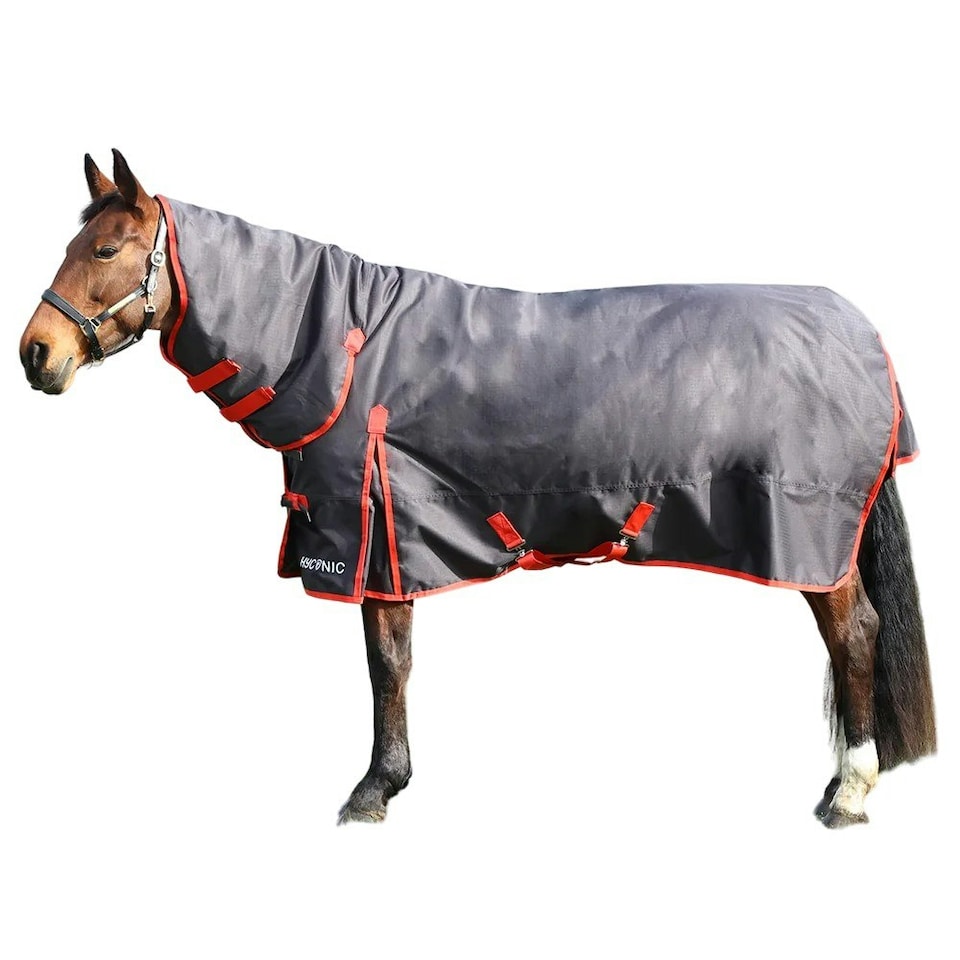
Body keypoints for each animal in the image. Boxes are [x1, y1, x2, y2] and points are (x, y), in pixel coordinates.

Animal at [19, 150, 936, 827]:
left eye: (105, 250)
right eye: (73, 245)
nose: (36, 353)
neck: (346, 349)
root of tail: (863, 331)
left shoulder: (376, 534)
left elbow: (387, 663)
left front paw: (374, 790)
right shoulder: (389, 536)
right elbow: (391, 661)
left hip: (814, 535)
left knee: (855, 634)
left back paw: (848, 791)